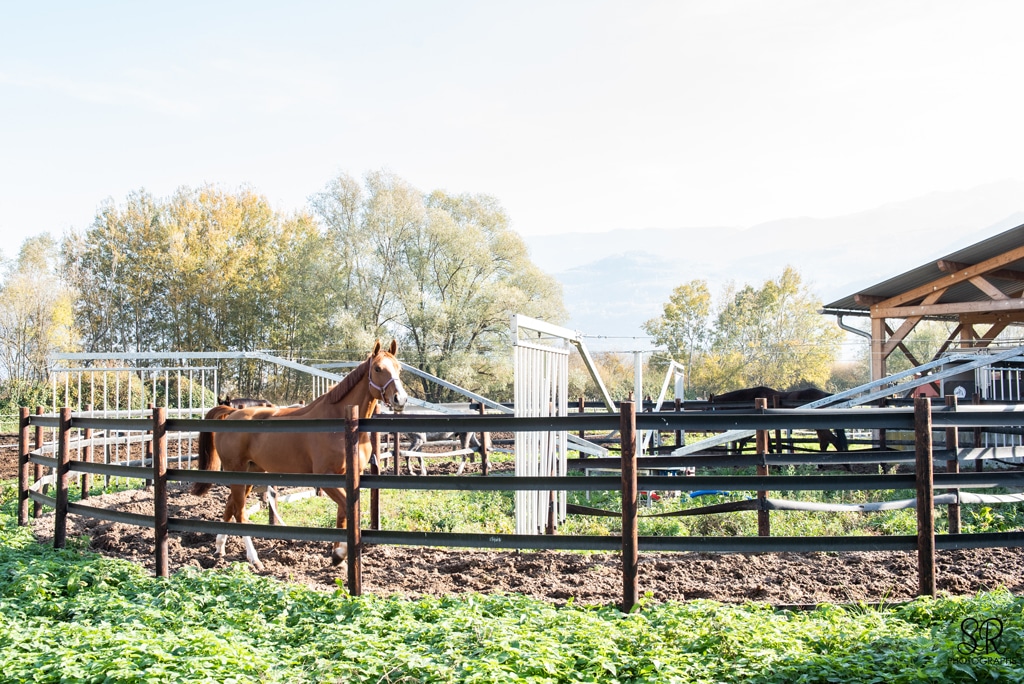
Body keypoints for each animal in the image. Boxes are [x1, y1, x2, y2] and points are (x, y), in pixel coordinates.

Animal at [190, 339, 405, 569]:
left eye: (399, 368)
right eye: (378, 368)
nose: (400, 399)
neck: (340, 421)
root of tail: (232, 413)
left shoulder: (344, 476)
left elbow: (342, 515)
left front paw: (337, 557)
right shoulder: (326, 476)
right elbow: (350, 510)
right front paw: (340, 554)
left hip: (250, 472)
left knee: (231, 505)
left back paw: (220, 547)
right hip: (237, 472)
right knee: (239, 511)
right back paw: (254, 559)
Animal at [704, 385, 847, 454]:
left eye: (707, 408)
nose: (707, 429)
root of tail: (825, 395)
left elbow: (745, 441)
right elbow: (768, 443)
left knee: (833, 441)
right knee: (826, 442)